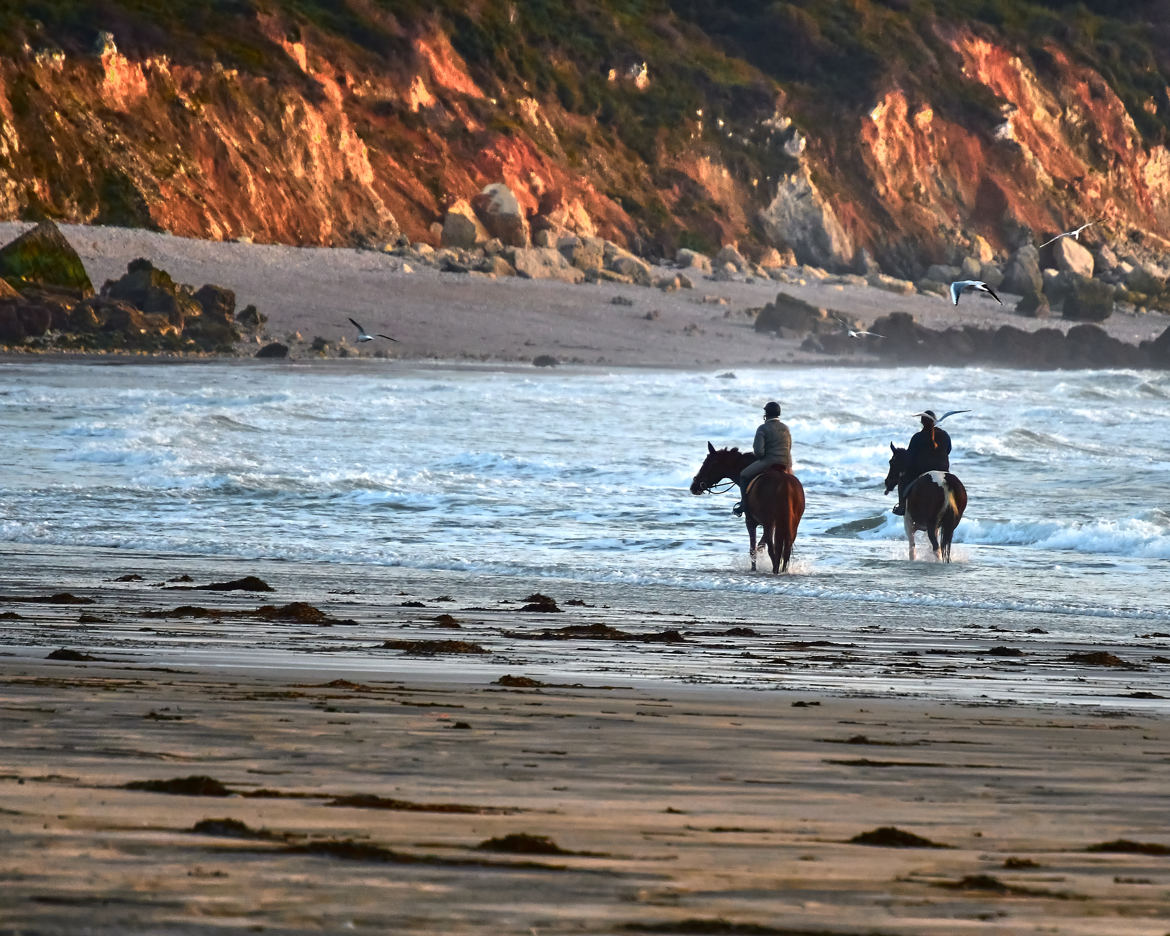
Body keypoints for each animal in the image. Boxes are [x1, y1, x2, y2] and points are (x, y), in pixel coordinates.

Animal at [683, 444, 804, 573]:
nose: (694, 486)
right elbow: (760, 545)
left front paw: (753, 568)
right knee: (785, 551)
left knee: (773, 551)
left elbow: (753, 549)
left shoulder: (751, 522)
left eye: (707, 463)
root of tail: (785, 485)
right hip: (791, 525)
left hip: (769, 523)